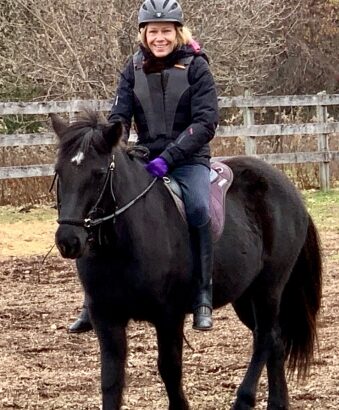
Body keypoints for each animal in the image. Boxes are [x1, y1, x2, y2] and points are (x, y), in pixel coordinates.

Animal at [51, 111, 322, 410]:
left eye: (99, 174)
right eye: (59, 171)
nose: (68, 240)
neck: (123, 244)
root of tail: (289, 189)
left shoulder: (169, 315)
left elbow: (169, 369)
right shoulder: (106, 318)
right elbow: (111, 381)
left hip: (269, 287)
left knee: (263, 338)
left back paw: (244, 399)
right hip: (245, 295)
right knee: (274, 339)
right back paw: (276, 402)